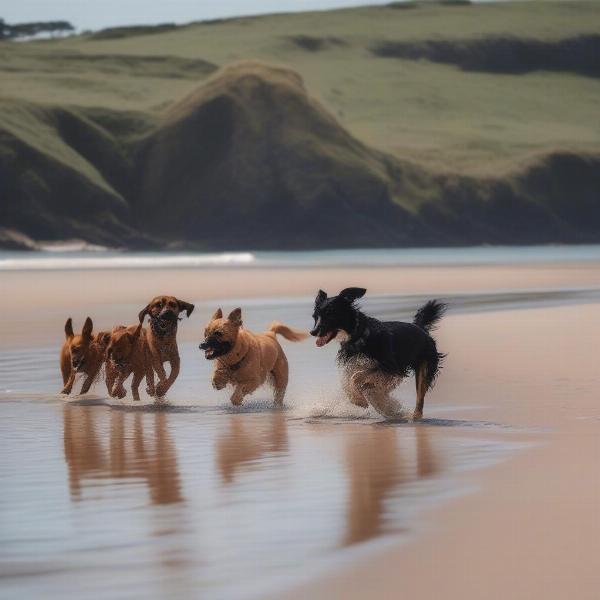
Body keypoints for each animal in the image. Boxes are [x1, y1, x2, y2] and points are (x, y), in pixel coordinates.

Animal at [310, 288, 446, 420]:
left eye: (330, 314)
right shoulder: (353, 365)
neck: (359, 337)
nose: (313, 332)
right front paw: (359, 398)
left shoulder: (389, 367)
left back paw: (413, 415)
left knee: (419, 397)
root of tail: (421, 328)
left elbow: (356, 377)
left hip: (423, 366)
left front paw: (360, 400)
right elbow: (347, 383)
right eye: (315, 316)